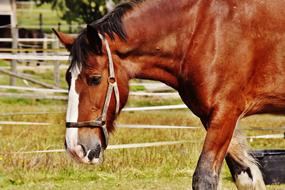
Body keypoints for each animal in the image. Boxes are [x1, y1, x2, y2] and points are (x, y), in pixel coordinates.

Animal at [53, 0, 284, 189]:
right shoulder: (212, 118)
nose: (75, 148)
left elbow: (204, 178)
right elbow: (247, 177)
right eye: (68, 78)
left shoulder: (225, 114)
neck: (203, 29)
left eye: (94, 78)